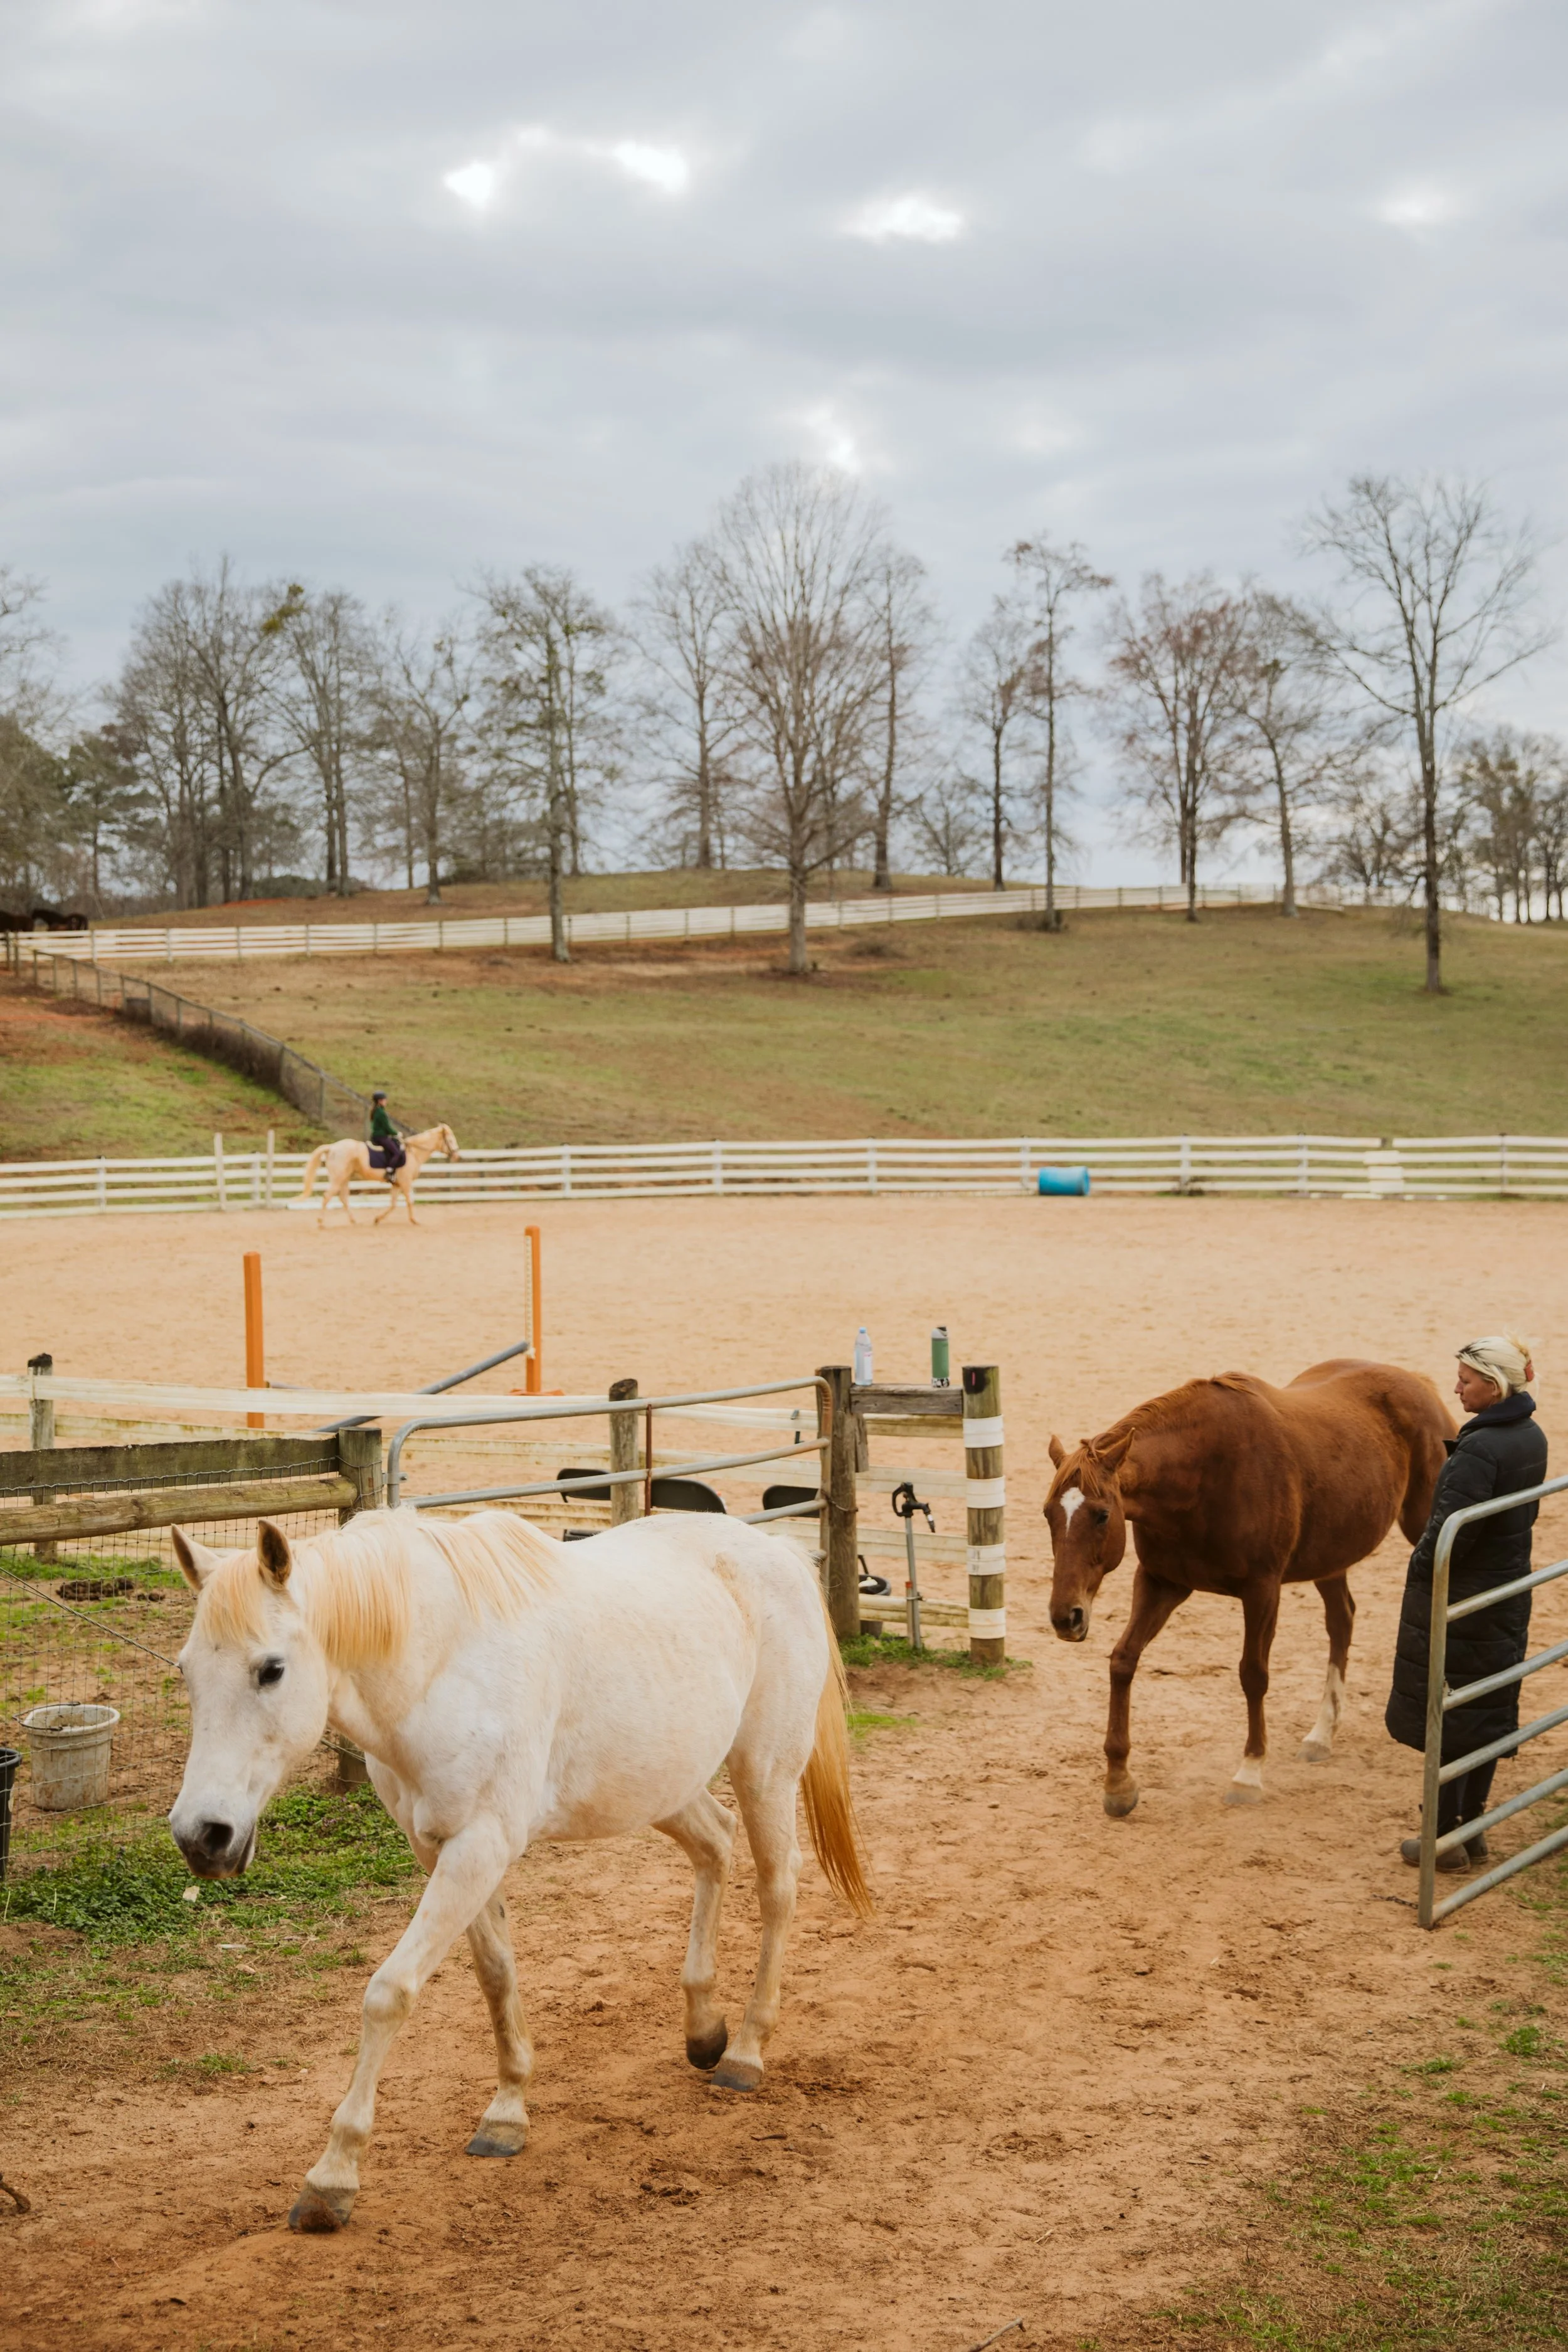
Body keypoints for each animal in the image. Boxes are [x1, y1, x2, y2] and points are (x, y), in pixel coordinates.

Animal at [167, 1506, 871, 2233]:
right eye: (186, 1672)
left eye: (271, 1669)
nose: (202, 1837)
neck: (442, 1667)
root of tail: (779, 1551)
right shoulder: (444, 1850)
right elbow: (495, 1976)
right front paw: (507, 2113)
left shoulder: (481, 1845)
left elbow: (390, 1993)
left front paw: (332, 2178)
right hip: (662, 1788)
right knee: (715, 1845)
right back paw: (703, 2029)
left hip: (766, 1773)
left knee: (777, 1888)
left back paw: (745, 2053)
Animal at [297, 1123, 459, 1227]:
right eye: (450, 1140)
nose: (457, 1156)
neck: (413, 1153)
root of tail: (332, 1148)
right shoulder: (406, 1183)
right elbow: (410, 1201)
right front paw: (415, 1220)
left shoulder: (397, 1184)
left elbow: (393, 1205)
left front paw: (377, 1219)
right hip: (338, 1179)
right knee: (327, 1197)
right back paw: (320, 1222)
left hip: (344, 1179)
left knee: (343, 1199)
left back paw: (354, 1221)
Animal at [1043, 1359, 1452, 1817]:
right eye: (1048, 1514)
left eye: (1101, 1515)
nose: (1066, 1617)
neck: (1202, 1474)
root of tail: (1418, 1383)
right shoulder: (1161, 1582)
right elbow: (1123, 1661)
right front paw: (1118, 1783)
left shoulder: (1262, 1590)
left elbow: (1253, 1675)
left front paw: (1249, 1775)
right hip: (1331, 1556)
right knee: (1341, 1620)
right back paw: (1321, 1735)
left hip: (1421, 1523)